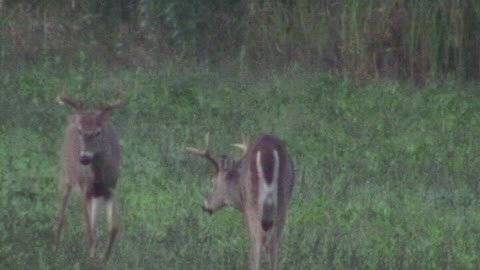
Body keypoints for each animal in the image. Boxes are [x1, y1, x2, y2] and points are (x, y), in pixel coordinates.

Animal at [53, 94, 124, 260]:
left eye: (98, 132)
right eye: (80, 131)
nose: (84, 158)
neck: (99, 177)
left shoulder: (112, 188)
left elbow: (114, 228)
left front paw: (105, 259)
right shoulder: (85, 189)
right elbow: (90, 230)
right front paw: (91, 258)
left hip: (96, 194)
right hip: (65, 174)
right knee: (61, 213)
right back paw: (55, 248)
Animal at [187, 135, 292, 270]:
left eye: (213, 182)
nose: (205, 205)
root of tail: (268, 151)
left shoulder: (246, 211)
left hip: (253, 203)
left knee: (258, 241)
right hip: (283, 203)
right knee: (274, 243)